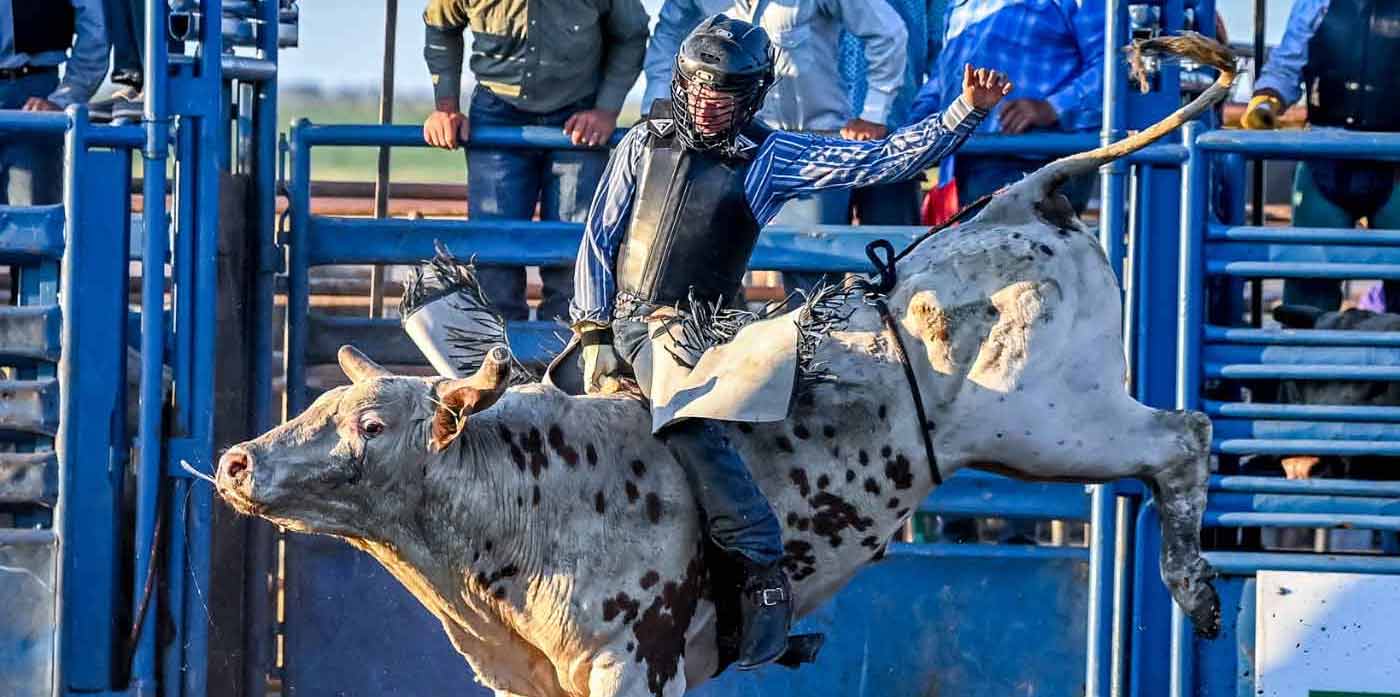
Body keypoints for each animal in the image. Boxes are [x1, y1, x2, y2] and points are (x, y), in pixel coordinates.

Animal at [216, 33, 1234, 697]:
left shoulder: (633, 664)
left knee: (1183, 436)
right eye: (323, 404)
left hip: (1058, 421)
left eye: (370, 422)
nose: (235, 461)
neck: (525, 486)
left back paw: (1197, 590)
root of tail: (1026, 196)